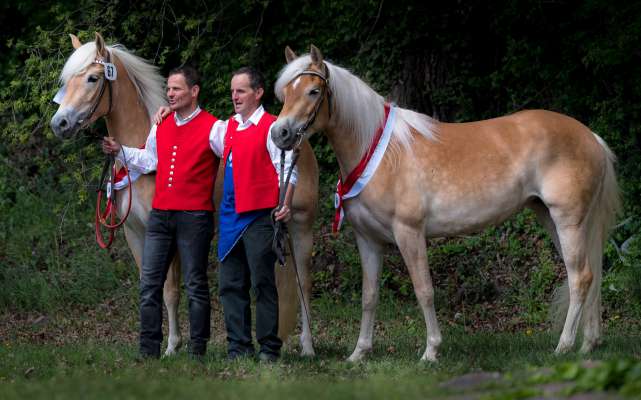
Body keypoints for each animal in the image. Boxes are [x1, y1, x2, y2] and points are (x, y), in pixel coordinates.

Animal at [48, 32, 318, 356]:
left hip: (301, 228)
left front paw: (172, 346)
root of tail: (298, 141)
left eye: (91, 78)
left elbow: (170, 291)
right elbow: (148, 284)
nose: (59, 124)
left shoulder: (170, 234)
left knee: (303, 282)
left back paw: (307, 347)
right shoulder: (135, 233)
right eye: (67, 81)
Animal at [272, 46, 620, 362]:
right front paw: (359, 353)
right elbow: (369, 296)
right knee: (588, 276)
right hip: (553, 219)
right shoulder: (368, 240)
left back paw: (563, 347)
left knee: (580, 278)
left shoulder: (409, 233)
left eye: (314, 91)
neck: (380, 153)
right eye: (285, 93)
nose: (280, 134)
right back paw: (588, 345)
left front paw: (431, 351)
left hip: (568, 221)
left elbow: (424, 291)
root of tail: (590, 136)